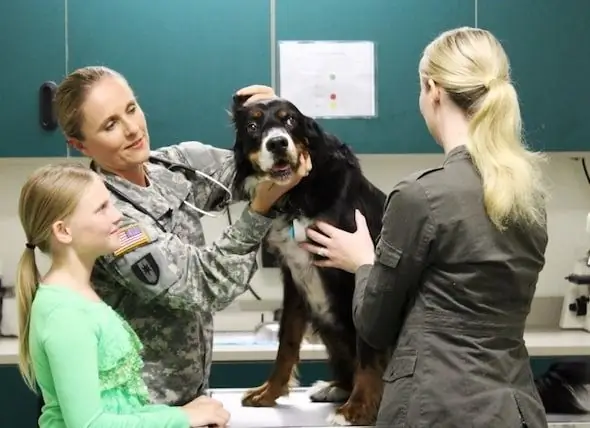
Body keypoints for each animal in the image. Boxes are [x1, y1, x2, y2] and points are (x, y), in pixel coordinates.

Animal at [232, 93, 394, 424]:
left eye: (290, 120)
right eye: (253, 125)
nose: (277, 143)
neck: (298, 197)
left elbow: (368, 351)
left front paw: (357, 409)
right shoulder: (293, 276)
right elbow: (287, 340)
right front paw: (268, 393)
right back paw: (334, 387)